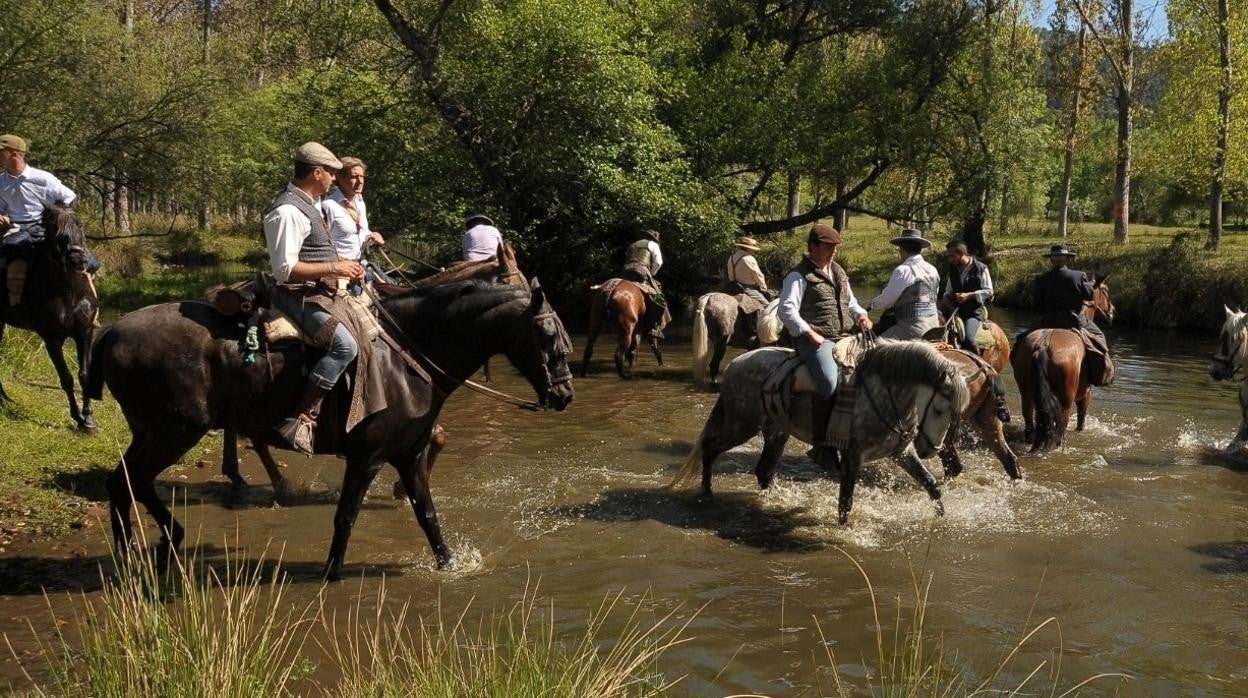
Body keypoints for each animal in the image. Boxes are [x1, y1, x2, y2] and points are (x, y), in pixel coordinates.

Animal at [0, 204, 97, 429]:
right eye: (58, 233)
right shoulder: (51, 339)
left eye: (80, 225)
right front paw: (77, 418)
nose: (77, 260)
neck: (69, 293)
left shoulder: (85, 333)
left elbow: (85, 375)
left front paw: (88, 418)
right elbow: (66, 378)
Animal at [87, 278, 574, 579]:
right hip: (175, 433)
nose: (565, 395)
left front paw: (450, 565)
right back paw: (166, 539)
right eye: (549, 336)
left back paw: (134, 554)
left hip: (150, 432)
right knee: (135, 481)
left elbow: (428, 516)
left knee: (121, 483)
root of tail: (112, 330)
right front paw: (332, 573)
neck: (404, 359)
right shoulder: (367, 458)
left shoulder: (409, 455)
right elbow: (346, 516)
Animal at [673, 342, 973, 526]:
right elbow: (845, 503)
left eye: (955, 414)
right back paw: (706, 492)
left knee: (763, 471)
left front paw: (941, 519)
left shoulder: (901, 453)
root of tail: (736, 363)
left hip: (775, 432)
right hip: (742, 425)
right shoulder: (853, 457)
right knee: (710, 448)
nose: (930, 449)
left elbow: (931, 485)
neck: (883, 394)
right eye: (938, 409)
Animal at [1008, 275, 1118, 457]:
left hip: (1027, 393)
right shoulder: (1086, 394)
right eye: (1106, 291)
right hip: (1065, 401)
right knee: (1060, 428)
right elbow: (1081, 420)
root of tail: (1042, 346)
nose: (1112, 311)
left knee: (1030, 421)